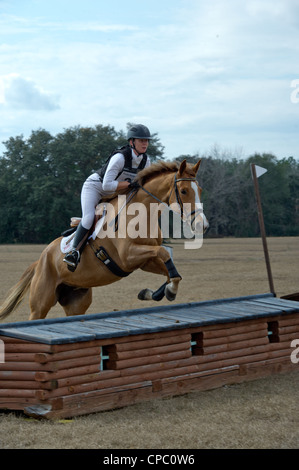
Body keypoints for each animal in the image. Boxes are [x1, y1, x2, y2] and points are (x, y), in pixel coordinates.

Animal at [0, 160, 209, 322]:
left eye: (200, 190)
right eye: (183, 191)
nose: (202, 225)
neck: (142, 214)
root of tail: (40, 261)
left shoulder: (144, 261)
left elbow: (170, 271)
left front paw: (159, 292)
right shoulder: (128, 256)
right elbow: (164, 252)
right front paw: (166, 292)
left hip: (76, 301)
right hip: (40, 303)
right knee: (36, 314)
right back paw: (71, 257)